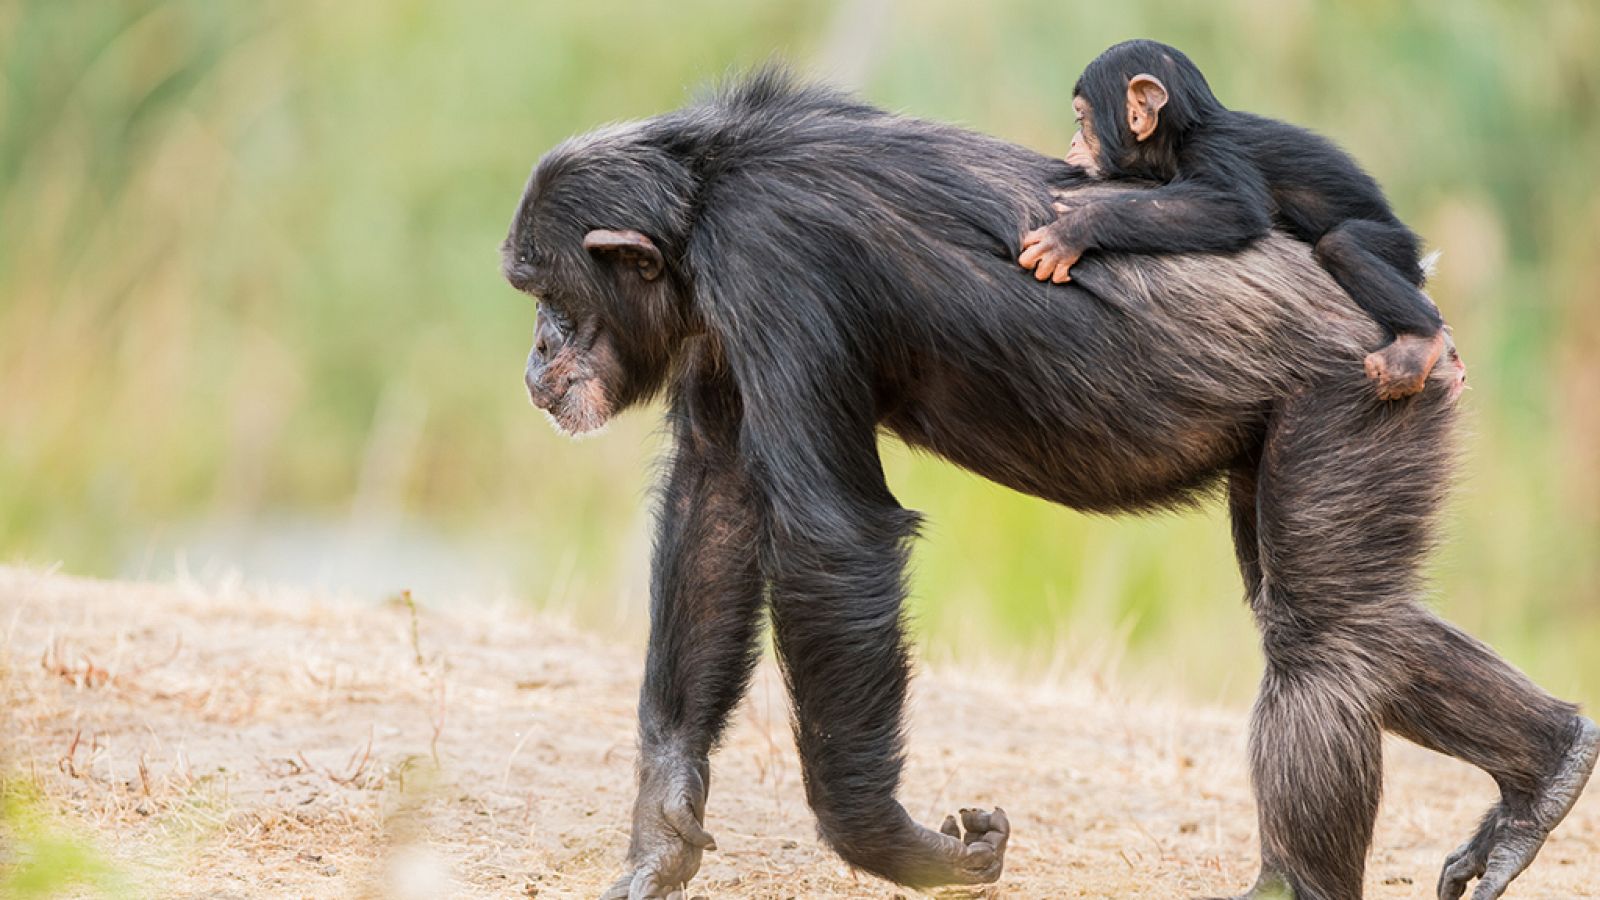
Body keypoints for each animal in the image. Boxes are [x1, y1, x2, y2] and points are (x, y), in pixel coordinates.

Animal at [1024, 38, 1452, 395]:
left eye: (1081, 120)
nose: (1073, 141)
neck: (1182, 134)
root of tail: (1420, 264)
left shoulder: (1215, 150)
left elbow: (1235, 207)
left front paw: (1074, 230)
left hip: (1396, 245)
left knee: (1343, 244)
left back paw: (1419, 341)